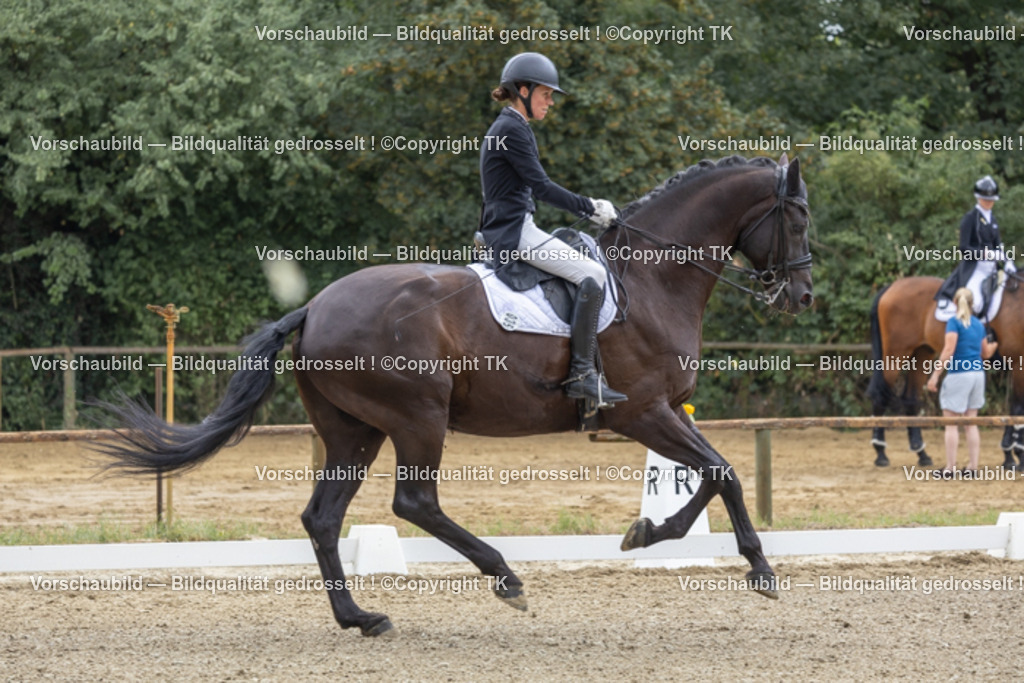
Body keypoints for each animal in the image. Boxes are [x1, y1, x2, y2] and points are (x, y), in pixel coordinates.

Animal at [96, 154, 813, 637]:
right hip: (417, 416)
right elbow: (722, 473)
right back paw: (505, 577)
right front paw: (756, 569)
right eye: (799, 218)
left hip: (355, 429)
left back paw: (361, 617)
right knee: (414, 501)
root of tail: (314, 307)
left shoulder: (659, 414)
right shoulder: (643, 411)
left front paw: (647, 532)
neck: (652, 277)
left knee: (323, 517)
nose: (802, 296)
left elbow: (713, 475)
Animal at [867, 275, 1024, 469]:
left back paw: (921, 453)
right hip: (895, 354)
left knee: (911, 399)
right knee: (880, 397)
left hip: (922, 353)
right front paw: (1014, 454)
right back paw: (880, 452)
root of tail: (892, 287)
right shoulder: (1018, 363)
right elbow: (1017, 408)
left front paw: (1011, 455)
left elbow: (1015, 408)